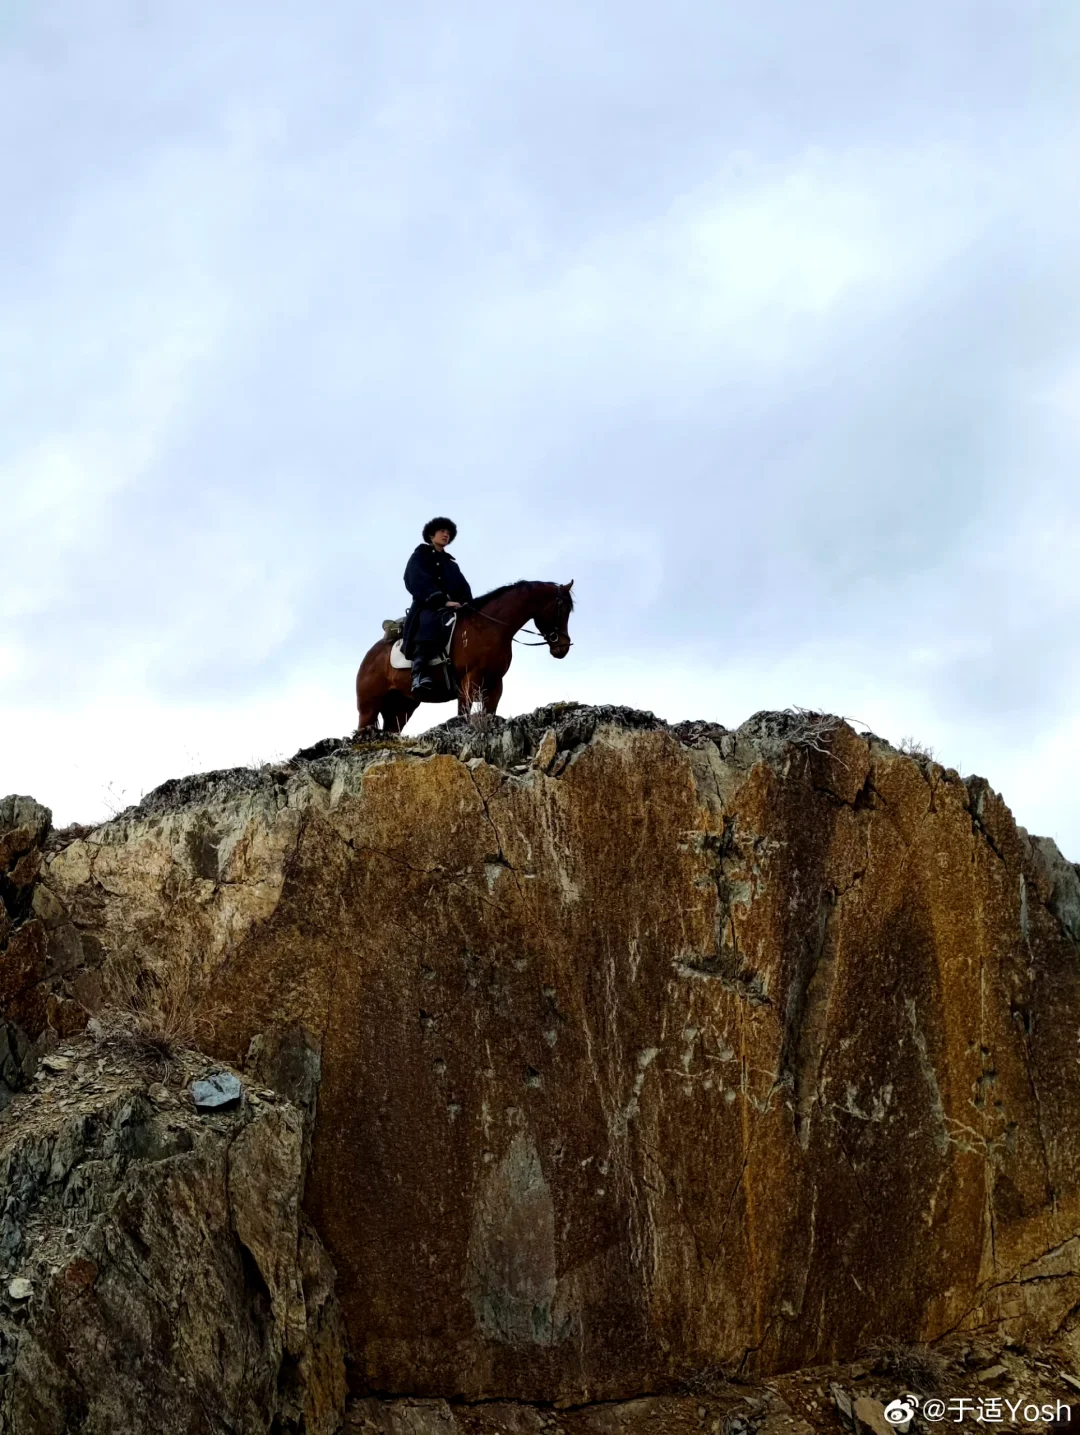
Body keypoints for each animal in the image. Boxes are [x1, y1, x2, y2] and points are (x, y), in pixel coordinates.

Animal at [354, 576, 573, 728]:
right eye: (562, 609)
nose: (563, 647)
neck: (488, 627)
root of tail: (369, 656)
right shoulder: (468, 682)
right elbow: (463, 714)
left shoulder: (495, 685)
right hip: (369, 709)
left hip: (401, 708)